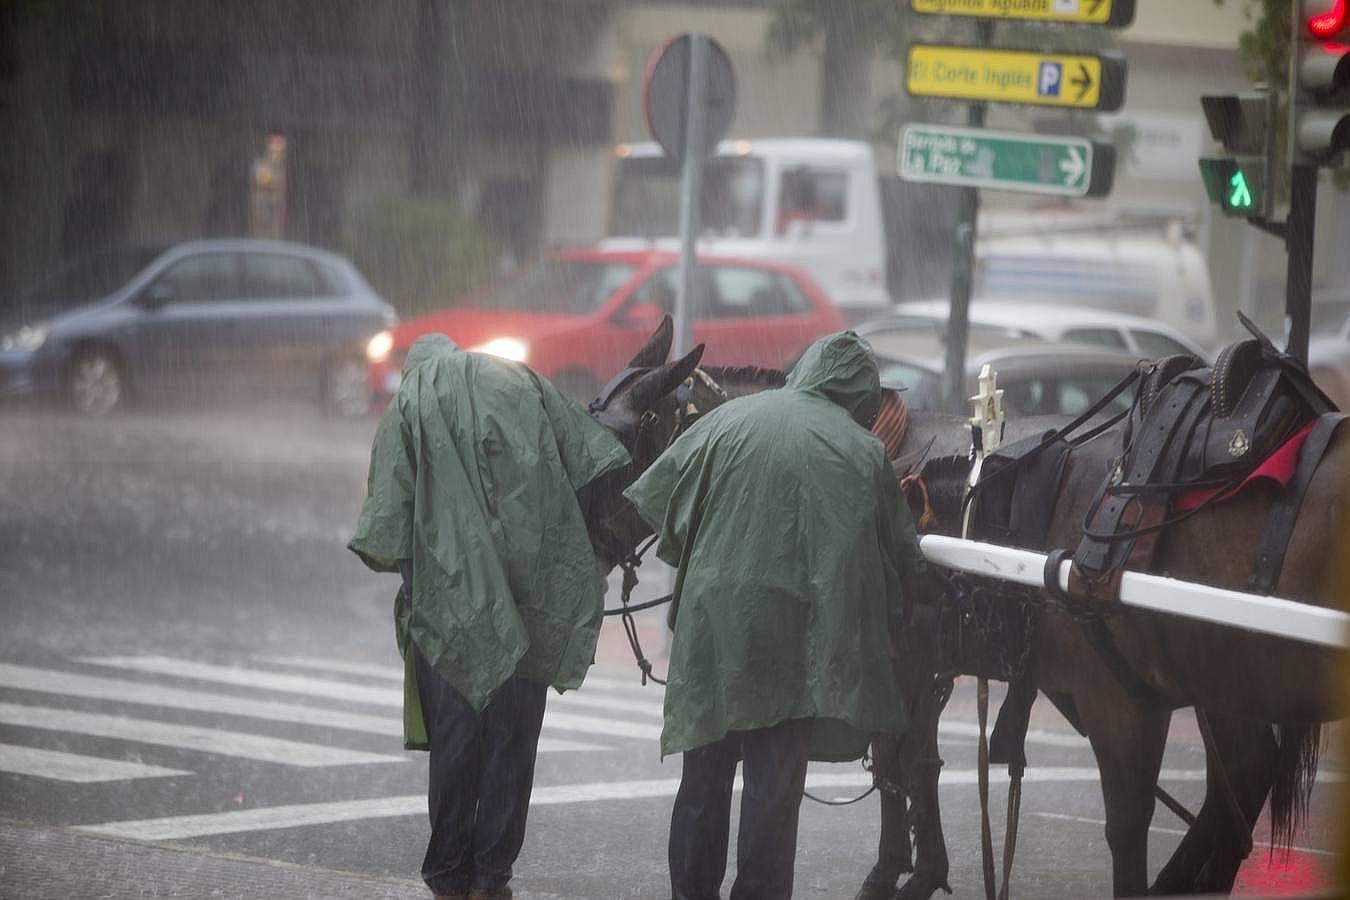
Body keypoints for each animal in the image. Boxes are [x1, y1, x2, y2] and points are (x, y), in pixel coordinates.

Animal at [583, 319, 1339, 895]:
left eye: (618, 451)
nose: (582, 542)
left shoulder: (903, 661)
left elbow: (902, 761)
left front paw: (903, 871)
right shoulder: (916, 664)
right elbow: (907, 761)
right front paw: (915, 867)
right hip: (1217, 682)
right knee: (1240, 781)